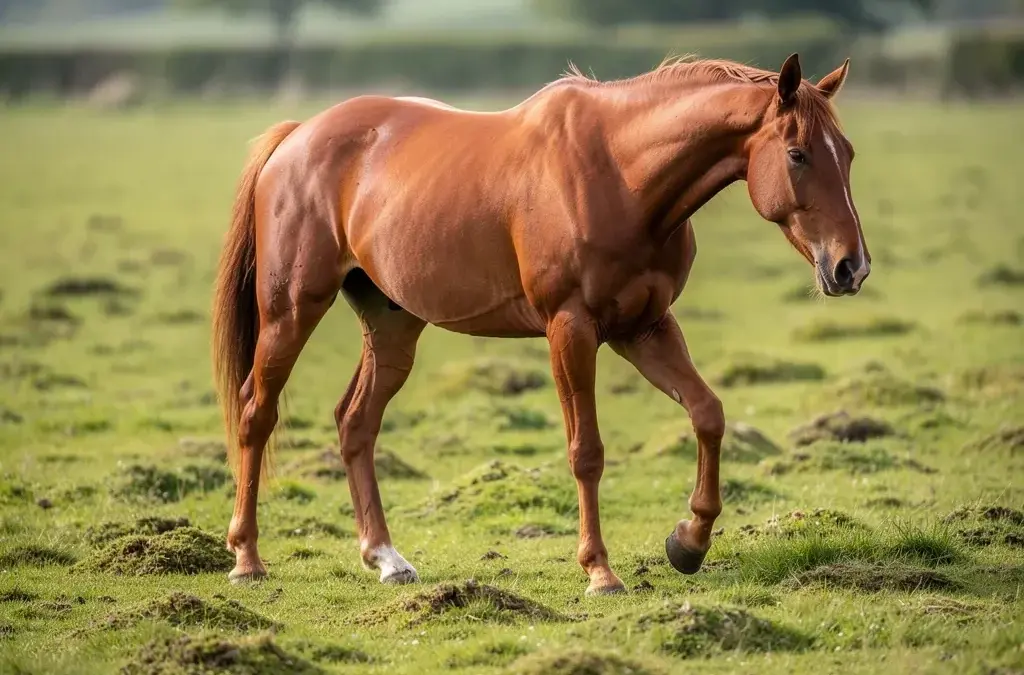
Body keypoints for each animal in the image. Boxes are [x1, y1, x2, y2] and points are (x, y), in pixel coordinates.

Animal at [211, 52, 870, 596]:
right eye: (798, 154)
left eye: (848, 153)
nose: (851, 267)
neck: (621, 173)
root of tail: (297, 138)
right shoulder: (570, 329)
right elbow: (587, 452)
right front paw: (600, 571)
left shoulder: (644, 327)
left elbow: (708, 413)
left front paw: (689, 542)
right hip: (291, 312)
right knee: (256, 413)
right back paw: (246, 559)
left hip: (393, 325)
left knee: (356, 422)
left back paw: (385, 558)